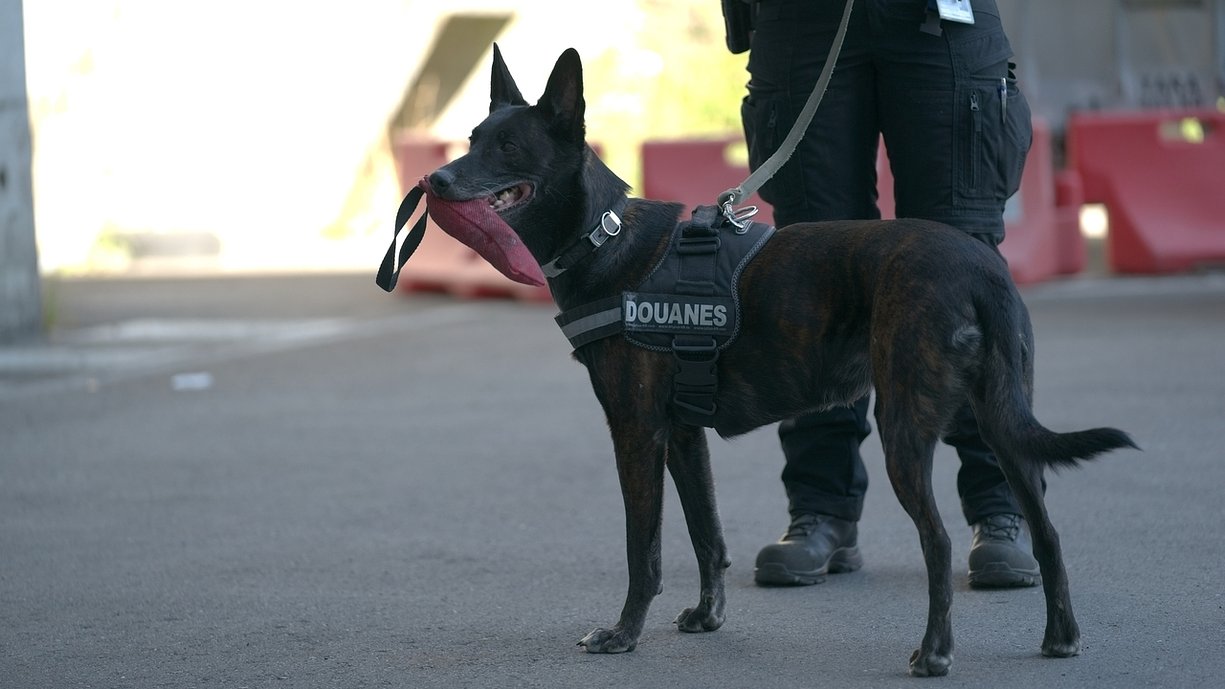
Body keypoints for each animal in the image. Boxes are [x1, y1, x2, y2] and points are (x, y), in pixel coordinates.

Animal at [416, 45, 1131, 671]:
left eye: (508, 148)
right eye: (472, 137)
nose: (437, 177)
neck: (603, 235)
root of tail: (978, 265)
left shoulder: (636, 433)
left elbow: (643, 549)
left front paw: (623, 634)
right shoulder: (682, 436)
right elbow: (707, 534)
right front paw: (708, 617)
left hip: (906, 427)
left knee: (940, 539)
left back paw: (934, 652)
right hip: (1003, 424)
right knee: (1047, 531)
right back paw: (1061, 636)